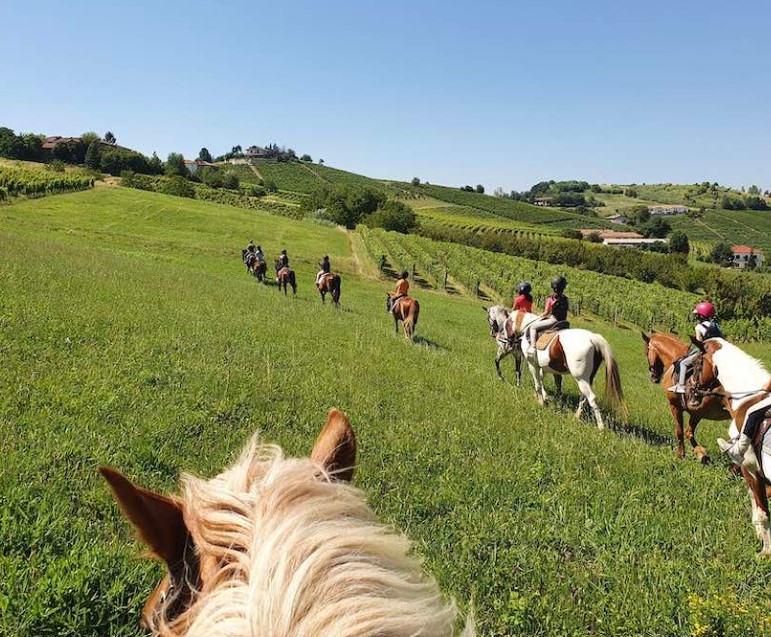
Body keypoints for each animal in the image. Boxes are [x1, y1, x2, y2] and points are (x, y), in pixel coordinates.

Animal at [490, 306, 625, 429]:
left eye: (491, 319)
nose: (500, 339)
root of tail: (593, 338)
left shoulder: (533, 365)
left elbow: (538, 383)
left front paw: (541, 401)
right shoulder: (544, 366)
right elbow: (544, 380)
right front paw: (544, 397)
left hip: (581, 378)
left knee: (591, 398)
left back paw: (601, 427)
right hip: (587, 379)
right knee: (584, 397)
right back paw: (576, 417)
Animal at [641, 332, 729, 462]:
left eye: (647, 351)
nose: (653, 377)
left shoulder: (676, 407)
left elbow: (680, 432)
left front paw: (682, 455)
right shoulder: (696, 413)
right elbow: (689, 432)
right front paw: (701, 454)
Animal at [691, 338, 771, 556]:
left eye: (697, 364)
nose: (692, 391)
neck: (748, 399)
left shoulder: (750, 469)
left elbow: (762, 511)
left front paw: (765, 551)